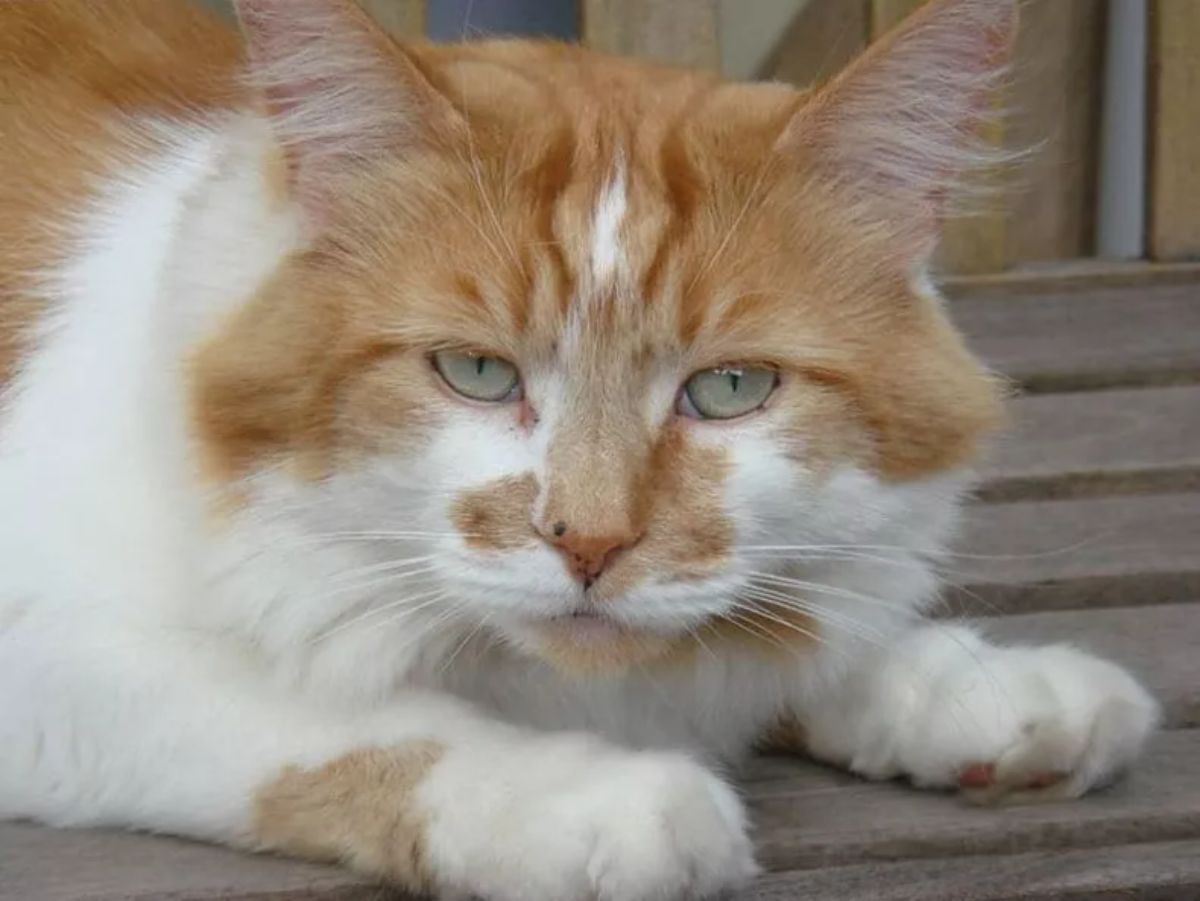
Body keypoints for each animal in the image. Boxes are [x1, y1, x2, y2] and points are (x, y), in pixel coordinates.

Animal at [0, 0, 1161, 897]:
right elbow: (348, 717)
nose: (589, 543)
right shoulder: (51, 652)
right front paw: (597, 798)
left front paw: (993, 691)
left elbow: (802, 632)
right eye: (476, 372)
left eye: (730, 388)